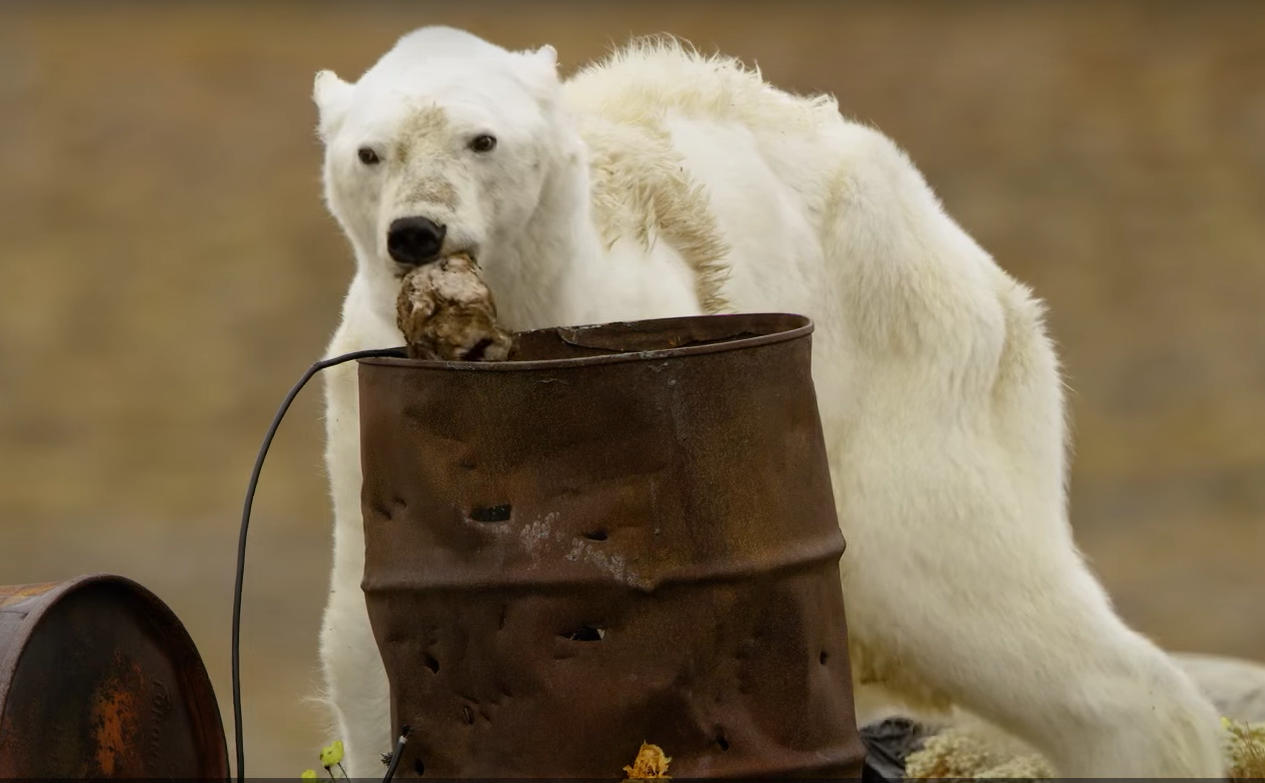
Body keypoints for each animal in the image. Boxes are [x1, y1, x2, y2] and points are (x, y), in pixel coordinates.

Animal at [308, 24, 1224, 779]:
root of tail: (972, 261)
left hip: (903, 378)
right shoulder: (370, 410)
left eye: (482, 139)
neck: (529, 302)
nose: (416, 232)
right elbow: (370, 635)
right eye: (370, 153)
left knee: (961, 580)